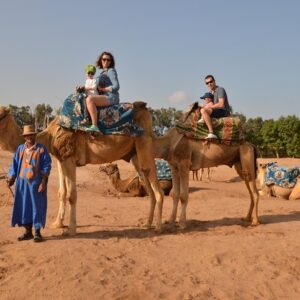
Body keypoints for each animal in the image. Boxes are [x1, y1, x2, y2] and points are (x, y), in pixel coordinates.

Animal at [0, 103, 164, 234]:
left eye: (1, 114)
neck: (49, 135)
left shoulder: (70, 159)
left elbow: (72, 195)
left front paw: (71, 229)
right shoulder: (60, 160)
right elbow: (62, 192)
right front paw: (57, 224)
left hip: (145, 144)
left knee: (155, 185)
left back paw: (158, 227)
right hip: (135, 155)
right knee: (147, 184)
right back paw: (147, 224)